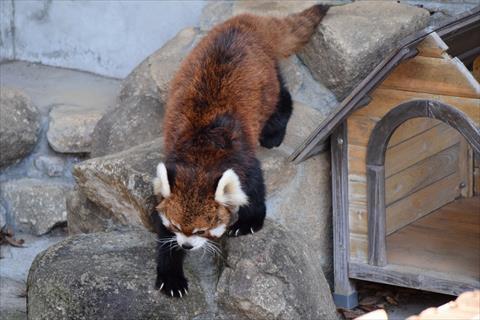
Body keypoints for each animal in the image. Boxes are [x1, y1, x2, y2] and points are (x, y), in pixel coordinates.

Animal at [152, 4, 328, 298]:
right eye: (177, 226)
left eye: (203, 229)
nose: (187, 245)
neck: (202, 156)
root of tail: (244, 22)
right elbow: (163, 235)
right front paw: (171, 275)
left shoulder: (241, 157)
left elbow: (254, 187)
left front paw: (249, 222)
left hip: (265, 83)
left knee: (281, 95)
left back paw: (273, 131)